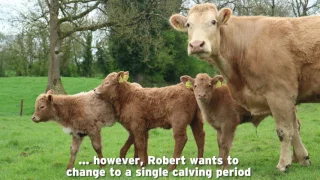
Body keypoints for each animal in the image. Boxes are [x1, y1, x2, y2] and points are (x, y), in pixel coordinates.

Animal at [170, 3, 320, 172]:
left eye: (213, 21)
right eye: (189, 24)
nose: (196, 45)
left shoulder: (280, 94)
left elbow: (285, 131)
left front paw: (283, 164)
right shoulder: (287, 99)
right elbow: (294, 130)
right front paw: (304, 159)